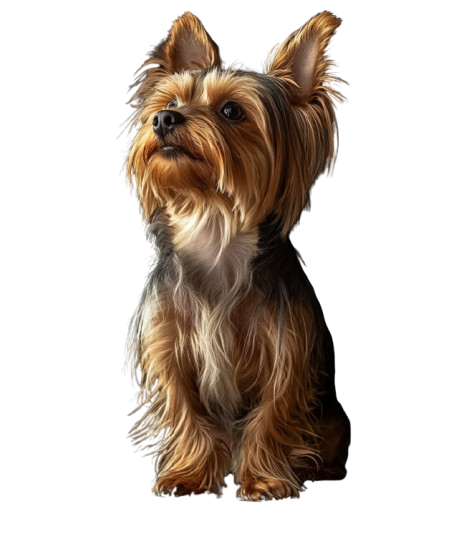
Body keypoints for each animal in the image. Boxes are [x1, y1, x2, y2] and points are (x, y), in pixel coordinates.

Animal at [122, 10, 350, 501]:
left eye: (231, 111)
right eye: (171, 100)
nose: (163, 118)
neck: (212, 220)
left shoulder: (286, 348)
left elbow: (273, 414)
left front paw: (265, 480)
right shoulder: (166, 345)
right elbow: (184, 411)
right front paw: (187, 476)